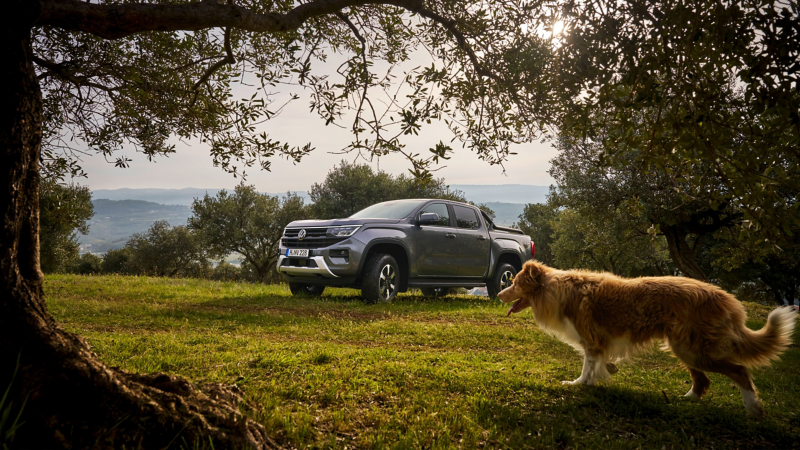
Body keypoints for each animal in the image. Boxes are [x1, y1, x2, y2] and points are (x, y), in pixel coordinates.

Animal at [496, 262, 796, 416]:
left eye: (516, 284)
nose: (498, 295)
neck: (555, 289)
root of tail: (725, 297)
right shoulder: (598, 343)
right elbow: (597, 365)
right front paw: (597, 379)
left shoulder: (592, 340)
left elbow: (587, 365)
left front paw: (578, 384)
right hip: (684, 347)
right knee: (703, 381)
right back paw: (686, 399)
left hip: (693, 350)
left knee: (740, 371)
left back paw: (753, 408)